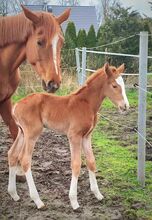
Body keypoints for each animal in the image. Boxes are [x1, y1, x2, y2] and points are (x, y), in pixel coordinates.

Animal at [7, 63, 129, 210]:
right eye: (114, 86)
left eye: (123, 84)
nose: (125, 106)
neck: (86, 103)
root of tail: (16, 106)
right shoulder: (74, 136)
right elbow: (76, 164)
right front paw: (74, 201)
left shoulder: (87, 136)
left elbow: (91, 162)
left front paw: (98, 194)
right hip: (32, 134)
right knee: (25, 160)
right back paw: (38, 201)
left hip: (22, 133)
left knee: (12, 154)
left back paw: (14, 194)